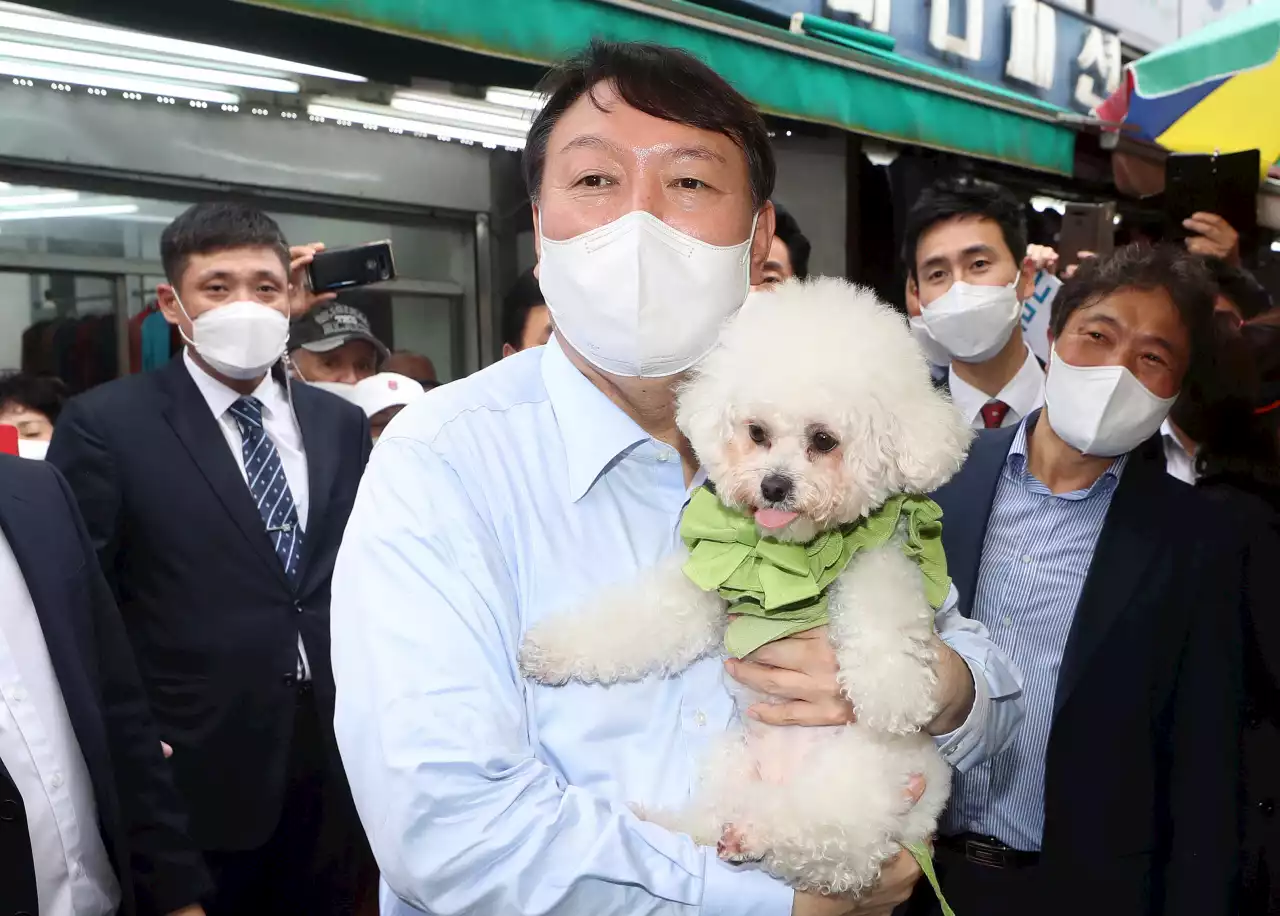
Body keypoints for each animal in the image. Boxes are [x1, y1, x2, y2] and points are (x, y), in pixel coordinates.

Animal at [519, 277, 967, 895]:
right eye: (757, 434)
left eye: (823, 440)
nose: (774, 486)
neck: (788, 554)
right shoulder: (708, 590)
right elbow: (644, 617)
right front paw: (550, 651)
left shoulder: (882, 557)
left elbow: (885, 615)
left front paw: (892, 692)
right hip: (733, 761)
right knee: (718, 821)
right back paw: (677, 825)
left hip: (863, 782)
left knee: (833, 844)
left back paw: (759, 834)